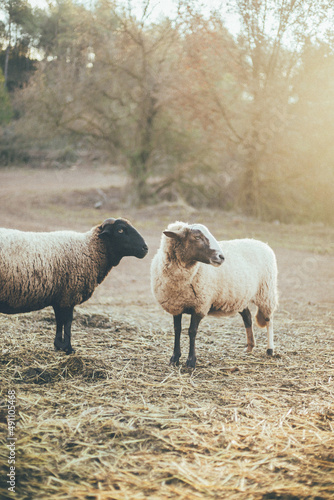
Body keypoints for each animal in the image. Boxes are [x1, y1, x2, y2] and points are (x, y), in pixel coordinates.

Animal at [0, 217, 147, 354]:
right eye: (120, 230)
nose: (145, 248)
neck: (89, 248)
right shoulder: (69, 295)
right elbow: (67, 322)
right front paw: (68, 349)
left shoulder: (60, 297)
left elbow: (59, 321)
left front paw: (58, 345)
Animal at [151, 222, 276, 368]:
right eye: (197, 237)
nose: (222, 257)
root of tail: (262, 243)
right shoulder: (176, 306)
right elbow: (177, 329)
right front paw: (174, 358)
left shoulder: (200, 305)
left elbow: (192, 331)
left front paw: (191, 361)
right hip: (241, 297)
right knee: (247, 317)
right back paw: (250, 347)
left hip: (266, 293)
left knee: (269, 321)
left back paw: (270, 349)